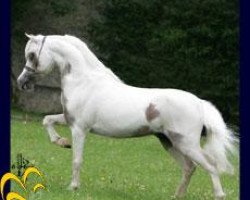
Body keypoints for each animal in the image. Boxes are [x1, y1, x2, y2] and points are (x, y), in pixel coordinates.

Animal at [17, 33, 236, 199]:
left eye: (32, 55)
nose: (21, 82)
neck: (84, 81)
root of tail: (198, 103)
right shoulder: (68, 120)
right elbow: (47, 120)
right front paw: (61, 142)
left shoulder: (79, 129)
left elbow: (77, 159)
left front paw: (73, 187)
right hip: (169, 142)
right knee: (189, 168)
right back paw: (177, 196)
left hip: (186, 144)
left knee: (210, 165)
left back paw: (219, 195)